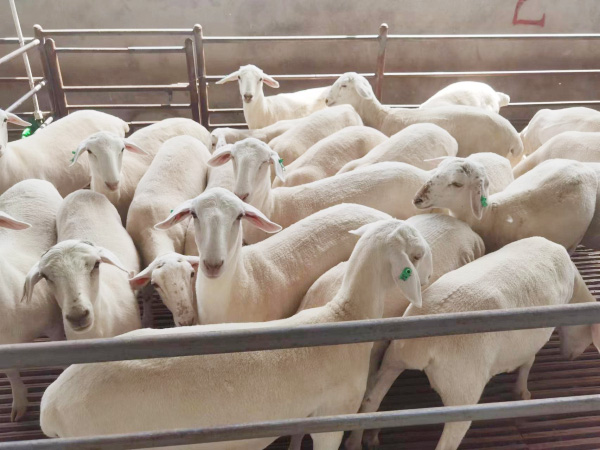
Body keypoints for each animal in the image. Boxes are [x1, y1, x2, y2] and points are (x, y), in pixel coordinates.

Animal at [40, 219, 432, 450]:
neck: (345, 316)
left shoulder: (306, 413)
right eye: (416, 253)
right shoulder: (332, 419)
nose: (428, 277)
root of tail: (51, 405)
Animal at [126, 135, 211, 326]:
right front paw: (147, 320)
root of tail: (185, 137)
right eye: (156, 284)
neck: (154, 229)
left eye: (192, 274)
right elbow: (146, 293)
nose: (186, 321)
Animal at [345, 237, 600, 450]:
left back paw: (357, 442)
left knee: (370, 402)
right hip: (463, 386)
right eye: (589, 337)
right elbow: (528, 361)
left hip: (394, 358)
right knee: (449, 438)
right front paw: (523, 393)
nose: (570, 356)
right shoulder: (536, 336)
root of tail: (423, 344)